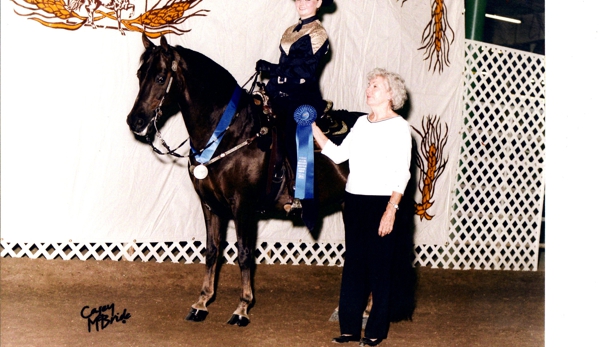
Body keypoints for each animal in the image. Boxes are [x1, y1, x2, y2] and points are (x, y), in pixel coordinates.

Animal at [126, 34, 360, 326]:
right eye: (139, 74)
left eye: (159, 78)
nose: (135, 121)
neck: (229, 133)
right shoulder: (210, 205)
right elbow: (212, 250)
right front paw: (202, 303)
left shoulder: (243, 206)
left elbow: (244, 254)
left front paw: (242, 308)